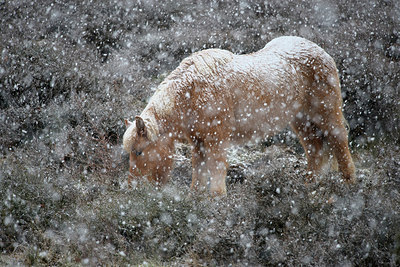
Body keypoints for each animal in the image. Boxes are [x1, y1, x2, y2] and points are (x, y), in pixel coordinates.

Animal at [122, 35, 356, 196]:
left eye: (139, 152)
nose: (133, 187)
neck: (191, 92)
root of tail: (320, 51)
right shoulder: (198, 142)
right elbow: (199, 172)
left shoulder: (216, 140)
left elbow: (216, 170)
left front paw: (217, 200)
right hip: (302, 122)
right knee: (315, 151)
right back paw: (310, 187)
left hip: (326, 114)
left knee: (339, 142)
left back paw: (349, 184)